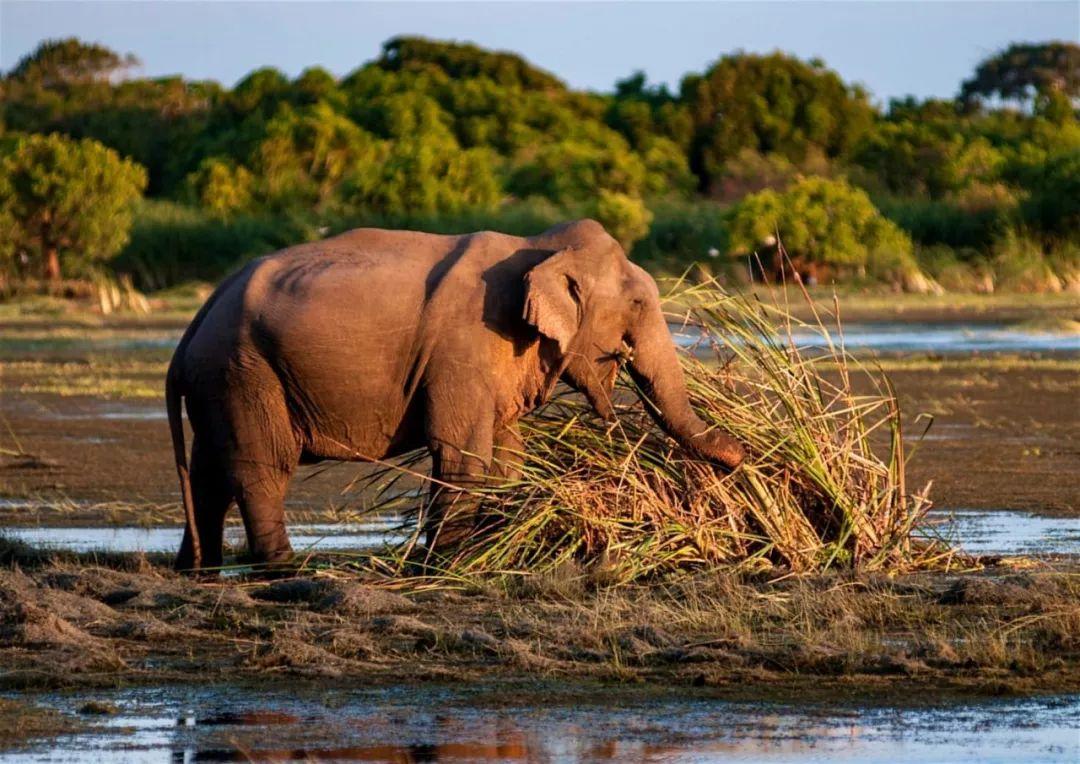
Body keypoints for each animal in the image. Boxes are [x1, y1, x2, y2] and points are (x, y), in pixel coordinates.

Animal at [166, 218, 743, 570]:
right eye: (640, 305)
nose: (745, 455)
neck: (541, 246)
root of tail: (191, 329)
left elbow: (507, 457)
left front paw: (493, 550)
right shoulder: (463, 348)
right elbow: (463, 454)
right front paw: (446, 566)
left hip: (221, 381)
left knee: (210, 474)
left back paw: (199, 568)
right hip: (243, 372)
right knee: (260, 469)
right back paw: (284, 569)